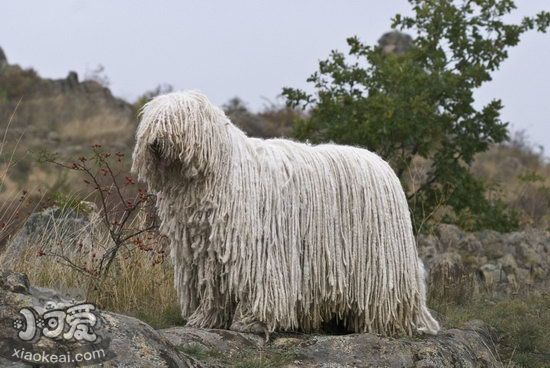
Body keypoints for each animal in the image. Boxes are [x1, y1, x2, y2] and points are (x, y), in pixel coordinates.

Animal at [132, 91, 442, 336]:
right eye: (152, 121)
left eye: (176, 119)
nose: (156, 142)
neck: (221, 171)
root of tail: (381, 164)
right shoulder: (206, 252)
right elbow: (214, 290)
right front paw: (205, 320)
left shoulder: (258, 248)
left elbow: (261, 285)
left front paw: (253, 322)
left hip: (380, 257)